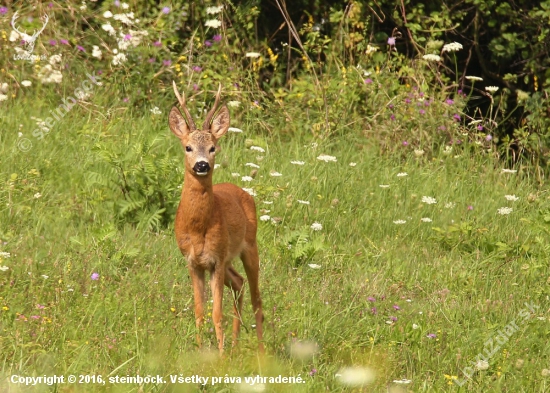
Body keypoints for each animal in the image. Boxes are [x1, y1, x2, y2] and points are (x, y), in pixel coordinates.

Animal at [169, 82, 266, 352]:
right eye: (188, 147)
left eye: (213, 148)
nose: (202, 165)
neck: (198, 228)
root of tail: (242, 191)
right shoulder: (193, 262)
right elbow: (200, 312)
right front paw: (201, 350)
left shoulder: (216, 260)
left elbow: (216, 313)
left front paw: (220, 355)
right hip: (229, 259)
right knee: (239, 283)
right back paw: (234, 344)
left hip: (249, 246)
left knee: (257, 299)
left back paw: (260, 351)